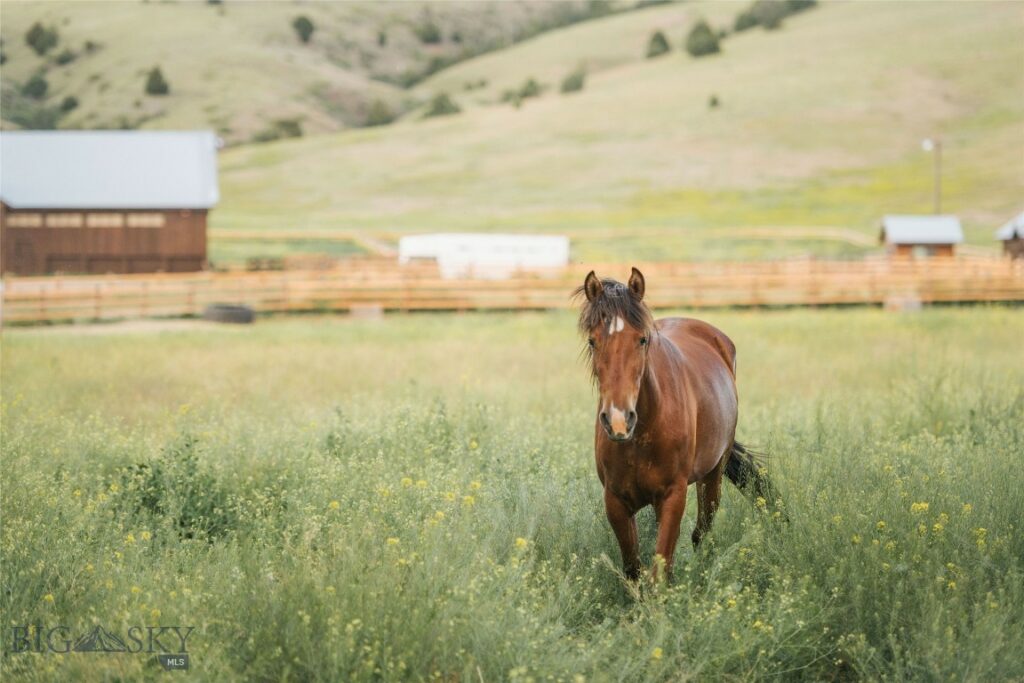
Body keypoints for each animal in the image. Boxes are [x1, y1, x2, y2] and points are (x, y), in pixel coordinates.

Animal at [577, 268, 770, 581]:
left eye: (642, 340)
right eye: (593, 341)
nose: (618, 420)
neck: (641, 436)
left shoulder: (673, 496)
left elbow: (660, 572)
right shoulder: (615, 501)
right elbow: (633, 569)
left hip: (712, 474)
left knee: (702, 532)